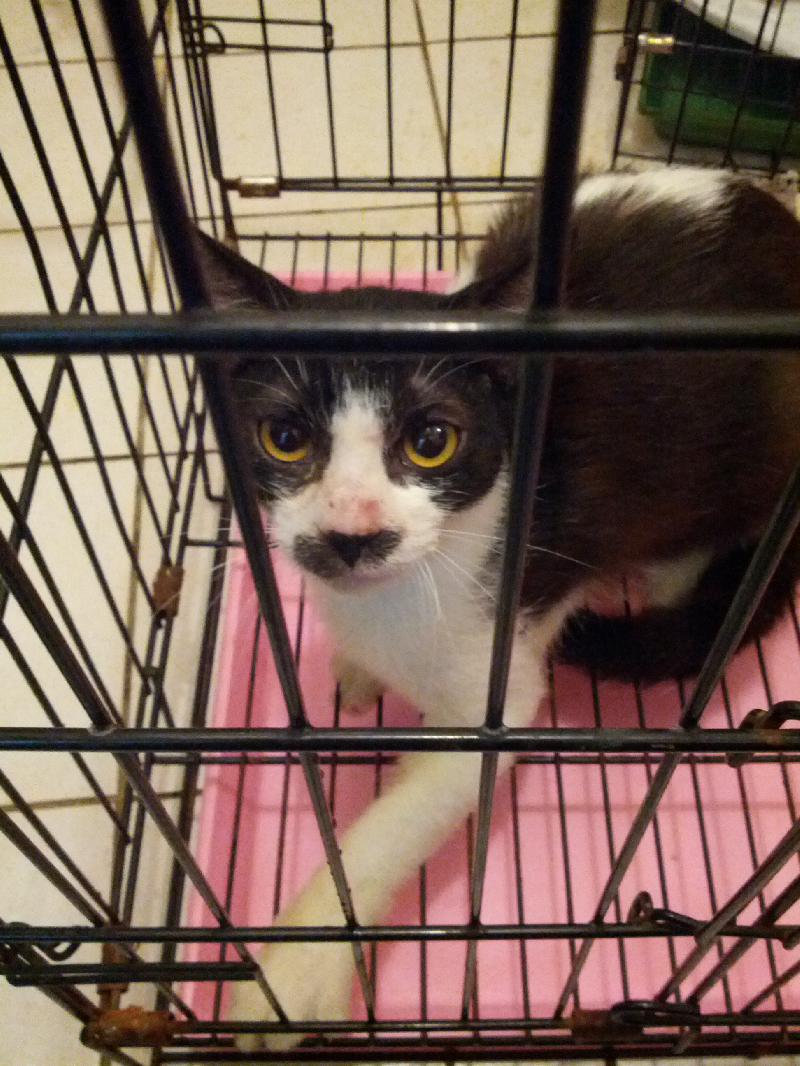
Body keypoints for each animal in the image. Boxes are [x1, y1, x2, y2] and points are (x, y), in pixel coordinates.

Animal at [195, 169, 800, 1049]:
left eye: (432, 442)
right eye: (283, 437)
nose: (352, 534)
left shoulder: (496, 695)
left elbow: (395, 824)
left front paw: (297, 971)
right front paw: (354, 664)